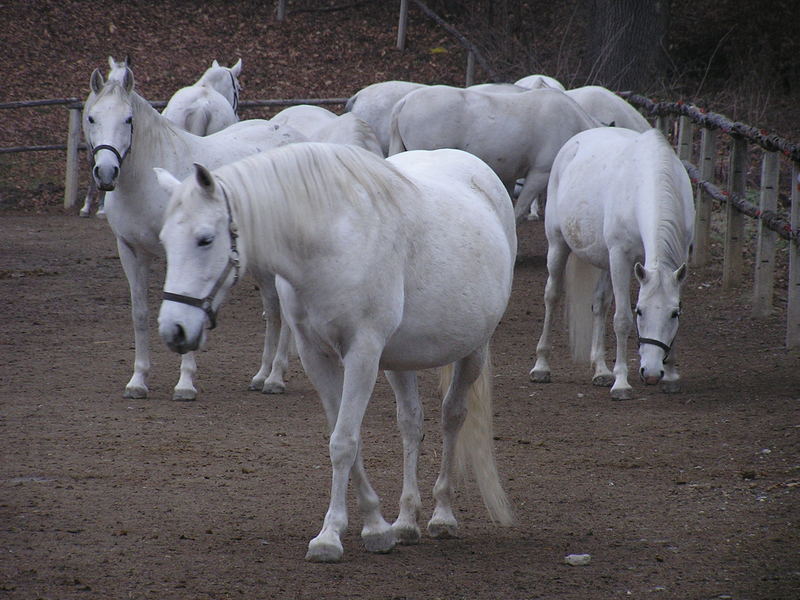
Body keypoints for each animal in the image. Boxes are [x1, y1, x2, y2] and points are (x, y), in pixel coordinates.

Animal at [83, 59, 304, 398]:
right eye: (92, 117)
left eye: (128, 119)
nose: (106, 172)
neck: (146, 181)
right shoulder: (130, 251)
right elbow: (140, 313)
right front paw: (138, 380)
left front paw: (185, 383)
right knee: (273, 306)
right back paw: (262, 376)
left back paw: (276, 378)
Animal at [155, 142, 516, 564]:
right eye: (164, 241)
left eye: (205, 239)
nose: (174, 330)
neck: (330, 242)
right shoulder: (316, 356)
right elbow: (345, 437)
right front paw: (376, 526)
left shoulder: (362, 354)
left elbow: (343, 443)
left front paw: (331, 537)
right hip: (400, 361)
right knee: (411, 423)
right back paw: (406, 521)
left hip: (474, 350)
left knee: (452, 417)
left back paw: (442, 515)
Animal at [532, 127, 692, 398]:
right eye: (640, 311)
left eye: (673, 314)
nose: (651, 373)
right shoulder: (620, 257)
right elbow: (621, 320)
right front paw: (622, 383)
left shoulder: (679, 261)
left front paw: (671, 376)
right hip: (558, 246)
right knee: (551, 295)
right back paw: (541, 366)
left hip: (606, 263)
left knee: (599, 304)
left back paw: (601, 370)